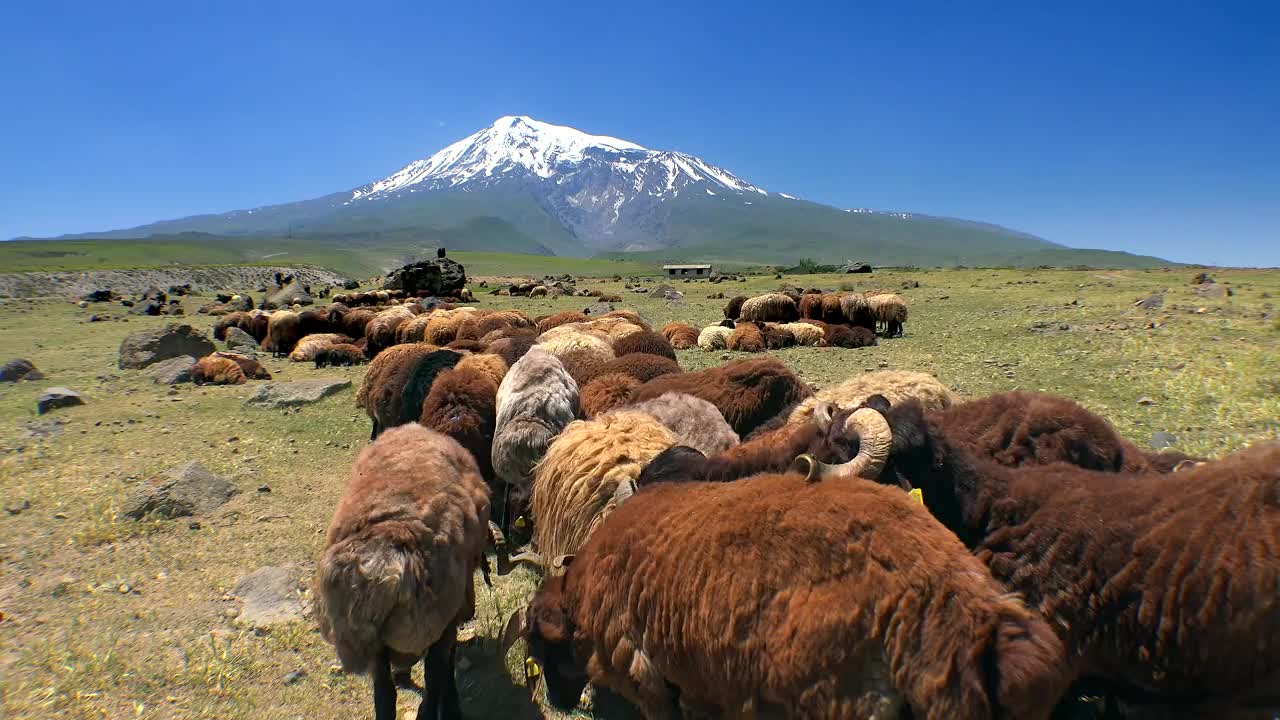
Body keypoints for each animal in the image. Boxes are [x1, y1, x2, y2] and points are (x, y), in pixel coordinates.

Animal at [315, 424, 490, 720]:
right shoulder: (448, 620)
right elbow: (441, 672)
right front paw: (451, 706)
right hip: (431, 622)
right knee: (431, 680)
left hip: (378, 647)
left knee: (385, 694)